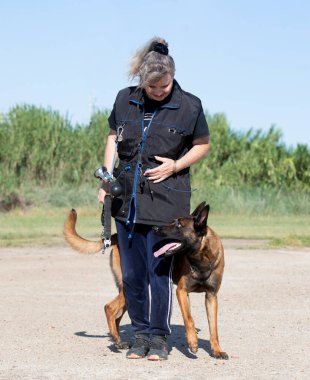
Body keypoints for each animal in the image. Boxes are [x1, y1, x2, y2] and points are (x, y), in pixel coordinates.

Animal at [63, 202, 228, 360]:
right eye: (174, 221)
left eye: (179, 225)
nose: (155, 228)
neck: (201, 259)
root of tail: (115, 236)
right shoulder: (181, 292)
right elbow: (189, 319)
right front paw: (193, 342)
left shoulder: (211, 297)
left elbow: (214, 328)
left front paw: (217, 350)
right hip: (132, 285)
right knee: (109, 308)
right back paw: (116, 339)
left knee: (116, 315)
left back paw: (118, 340)